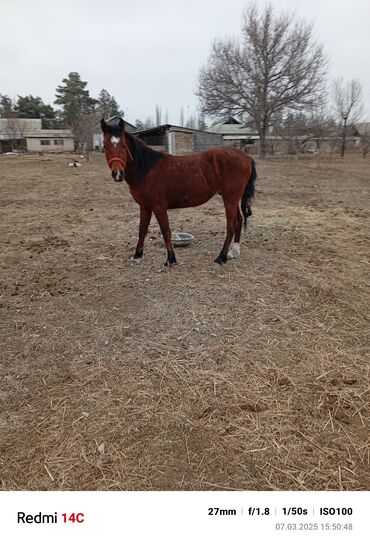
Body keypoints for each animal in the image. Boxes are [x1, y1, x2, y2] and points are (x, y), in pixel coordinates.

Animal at [101, 118, 258, 264]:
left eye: (123, 145)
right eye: (105, 146)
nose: (118, 174)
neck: (146, 168)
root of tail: (247, 157)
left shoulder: (159, 206)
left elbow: (165, 230)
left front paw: (171, 259)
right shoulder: (144, 206)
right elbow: (142, 230)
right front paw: (137, 256)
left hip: (229, 199)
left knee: (231, 225)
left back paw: (221, 257)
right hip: (232, 198)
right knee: (239, 220)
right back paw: (233, 252)